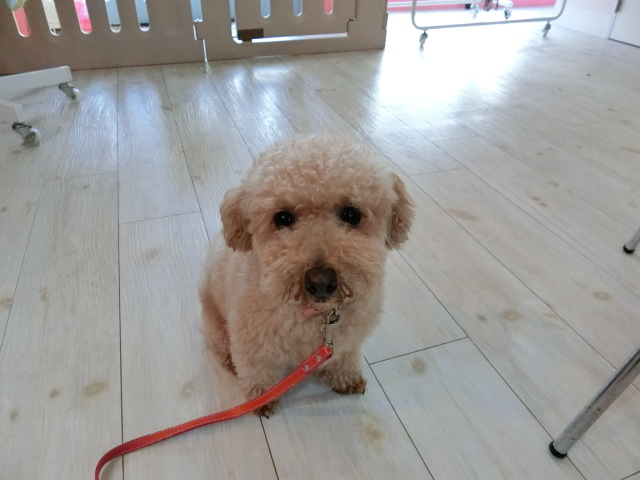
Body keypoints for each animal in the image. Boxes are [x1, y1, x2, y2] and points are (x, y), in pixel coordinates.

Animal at [200, 135, 414, 416]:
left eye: (351, 214)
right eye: (282, 218)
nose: (321, 282)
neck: (316, 315)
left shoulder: (348, 341)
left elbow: (345, 358)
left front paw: (345, 378)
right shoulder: (252, 346)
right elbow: (258, 373)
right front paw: (262, 398)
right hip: (214, 319)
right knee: (219, 344)